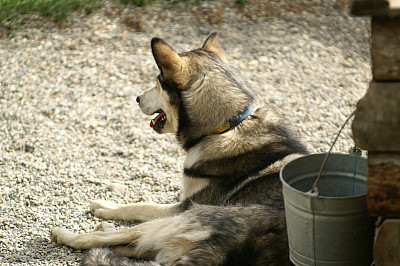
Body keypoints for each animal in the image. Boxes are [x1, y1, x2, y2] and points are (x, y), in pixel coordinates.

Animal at [50, 32, 308, 264]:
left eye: (157, 84)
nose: (137, 98)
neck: (227, 127)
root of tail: (226, 249)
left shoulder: (183, 207)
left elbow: (141, 206)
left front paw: (106, 206)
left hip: (183, 218)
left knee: (111, 239)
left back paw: (67, 234)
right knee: (128, 244)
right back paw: (104, 228)